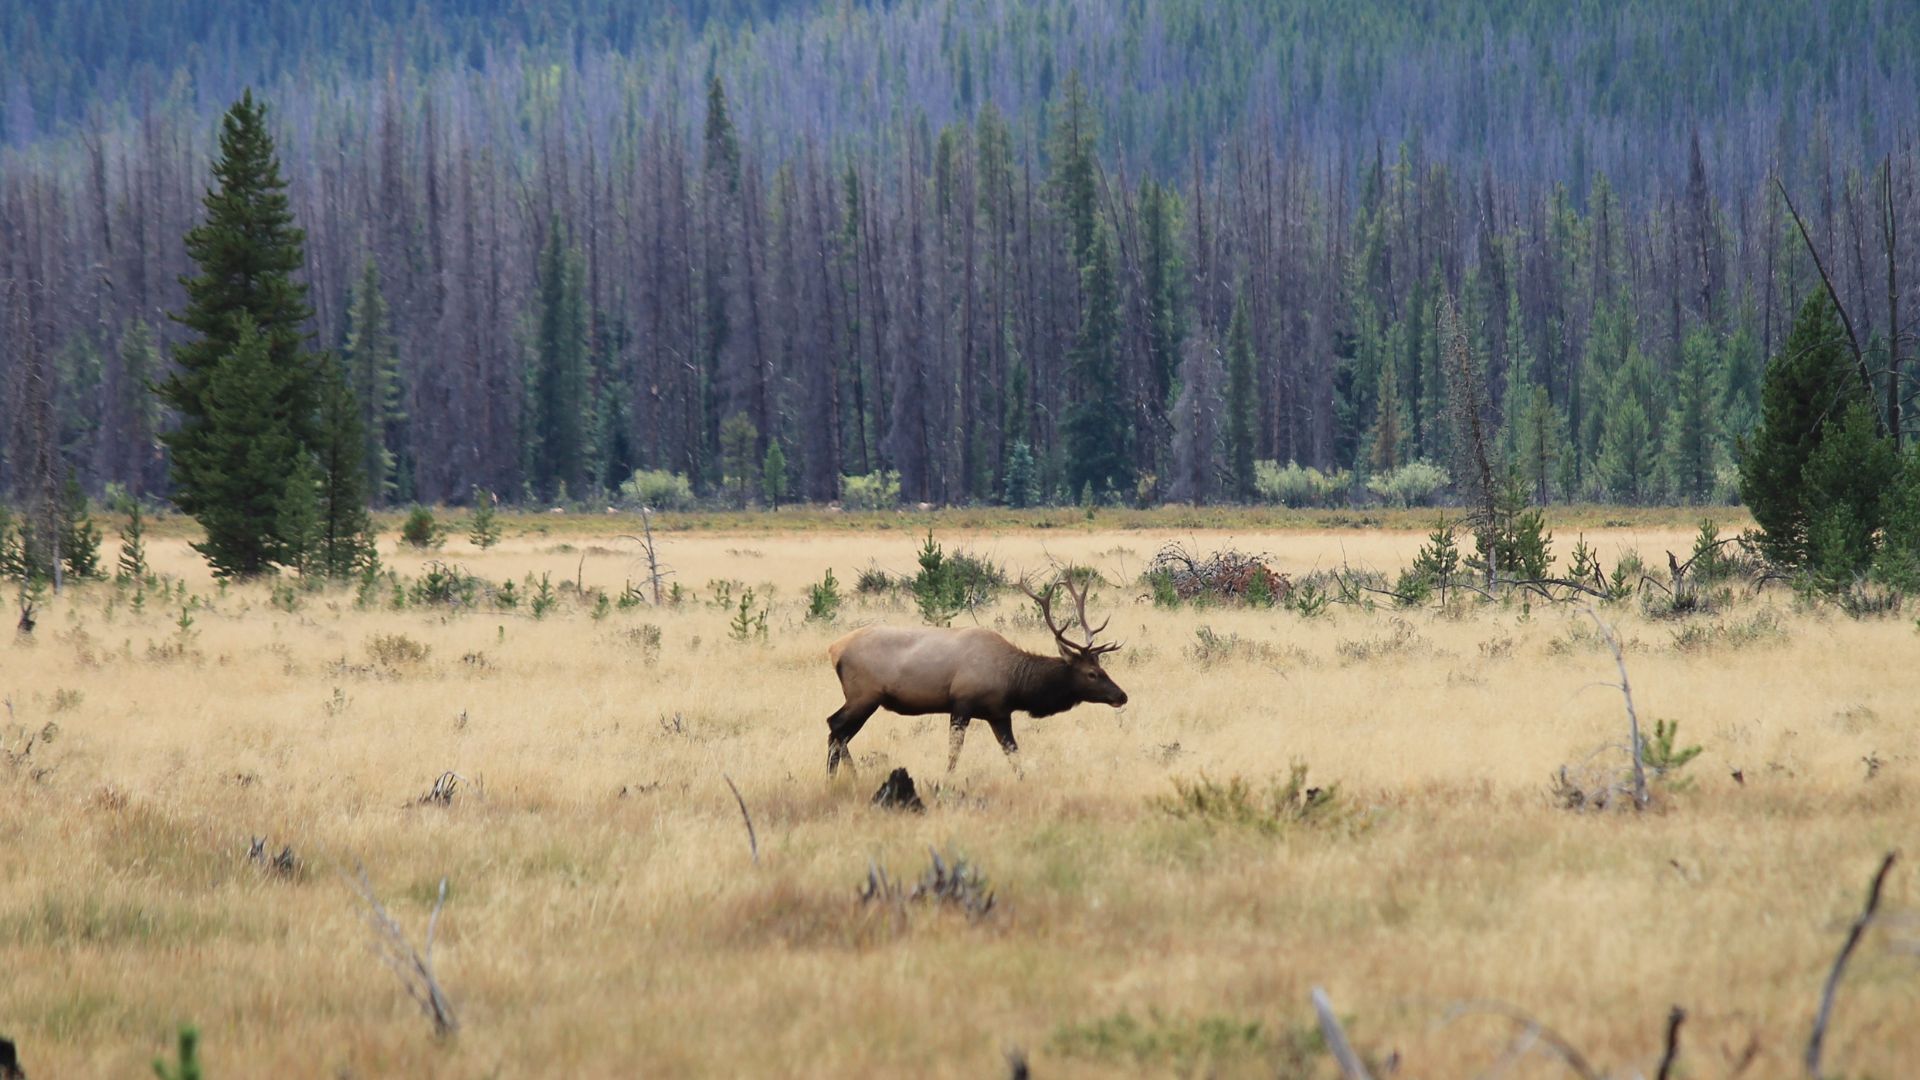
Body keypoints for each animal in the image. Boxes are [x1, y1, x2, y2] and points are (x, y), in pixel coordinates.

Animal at [821, 571, 1128, 777]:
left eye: (1103, 668)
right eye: (1092, 673)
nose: (1122, 696)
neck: (1014, 683)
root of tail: (834, 649)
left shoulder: (999, 713)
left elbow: (1014, 754)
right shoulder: (961, 703)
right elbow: (953, 754)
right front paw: (946, 782)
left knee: (839, 731)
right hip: (864, 694)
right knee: (836, 726)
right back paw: (843, 776)